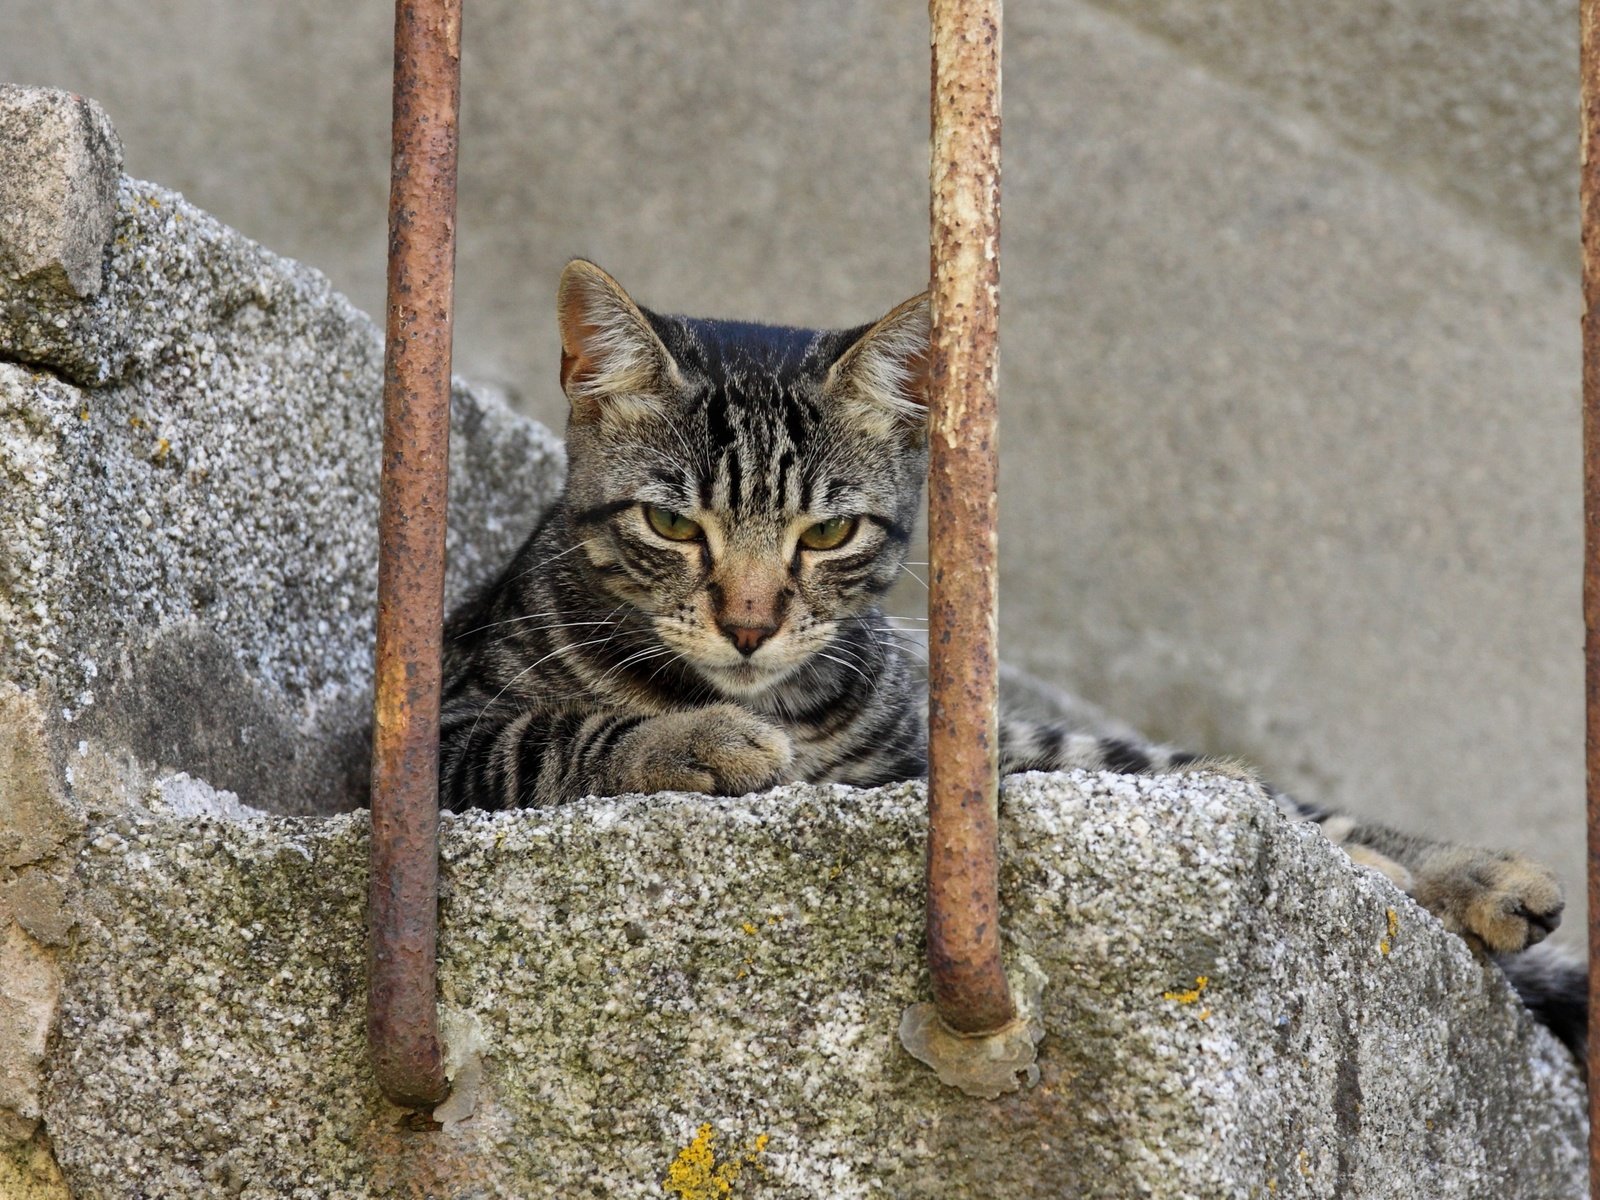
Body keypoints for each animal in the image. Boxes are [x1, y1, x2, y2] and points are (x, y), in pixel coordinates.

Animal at [444, 260, 1580, 1049]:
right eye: (675, 527)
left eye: (828, 534)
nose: (751, 623)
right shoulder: (446, 738)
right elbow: (560, 731)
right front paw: (697, 738)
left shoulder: (922, 763)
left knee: (1220, 782)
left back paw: (1450, 870)